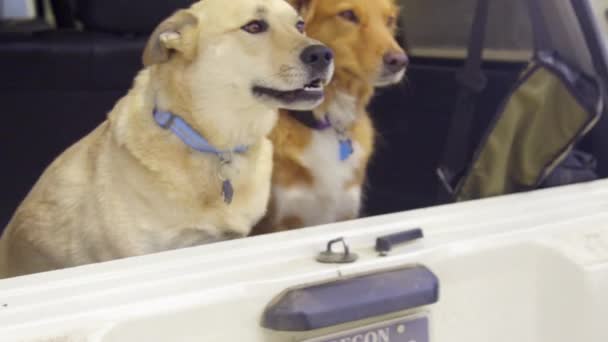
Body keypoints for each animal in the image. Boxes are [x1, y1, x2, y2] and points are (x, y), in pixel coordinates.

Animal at [254, 0, 406, 234]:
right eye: (348, 14)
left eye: (389, 20)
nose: (400, 61)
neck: (327, 119)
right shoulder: (279, 221)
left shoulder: (344, 213)